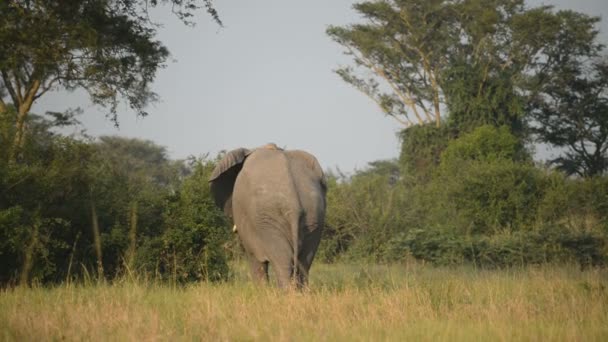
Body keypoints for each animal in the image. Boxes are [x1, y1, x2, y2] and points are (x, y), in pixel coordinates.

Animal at [209, 143, 326, 290]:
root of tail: (294, 205)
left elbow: (254, 257)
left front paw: (260, 291)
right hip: (314, 216)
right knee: (304, 262)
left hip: (269, 219)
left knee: (283, 262)